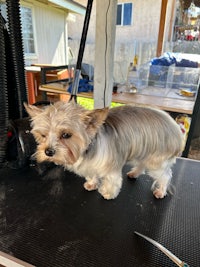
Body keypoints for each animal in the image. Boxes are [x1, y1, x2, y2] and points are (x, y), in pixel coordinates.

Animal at [24, 102, 184, 201]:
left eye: (66, 135)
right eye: (43, 135)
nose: (48, 152)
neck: (87, 150)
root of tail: (175, 126)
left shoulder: (111, 166)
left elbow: (112, 180)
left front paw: (108, 193)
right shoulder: (91, 165)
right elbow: (92, 174)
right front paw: (91, 184)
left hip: (156, 159)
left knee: (165, 175)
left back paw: (161, 191)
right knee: (142, 164)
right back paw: (134, 173)